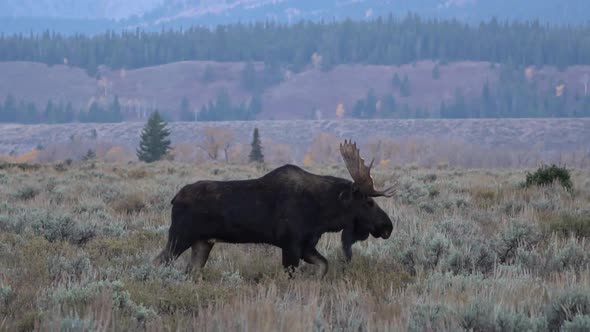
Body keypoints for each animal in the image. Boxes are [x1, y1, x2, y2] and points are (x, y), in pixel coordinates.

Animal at [155, 139, 400, 278]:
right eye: (369, 202)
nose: (387, 226)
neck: (323, 213)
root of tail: (174, 198)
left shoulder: (306, 246)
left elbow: (324, 266)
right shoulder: (290, 245)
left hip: (203, 242)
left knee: (191, 271)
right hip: (180, 236)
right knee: (159, 261)